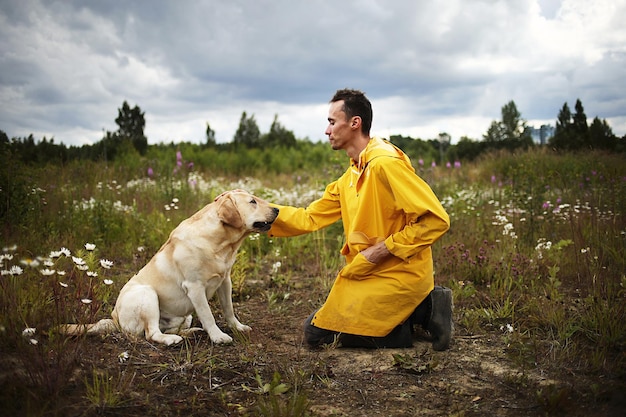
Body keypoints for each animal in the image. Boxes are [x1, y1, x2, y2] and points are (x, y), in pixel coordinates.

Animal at [60, 189, 278, 344]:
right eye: (252, 201)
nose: (277, 209)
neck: (218, 242)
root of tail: (114, 319)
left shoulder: (225, 281)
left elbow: (229, 309)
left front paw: (237, 327)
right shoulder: (195, 287)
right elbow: (208, 315)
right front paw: (218, 336)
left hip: (185, 315)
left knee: (170, 328)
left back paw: (191, 332)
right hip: (147, 294)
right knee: (152, 333)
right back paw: (172, 339)